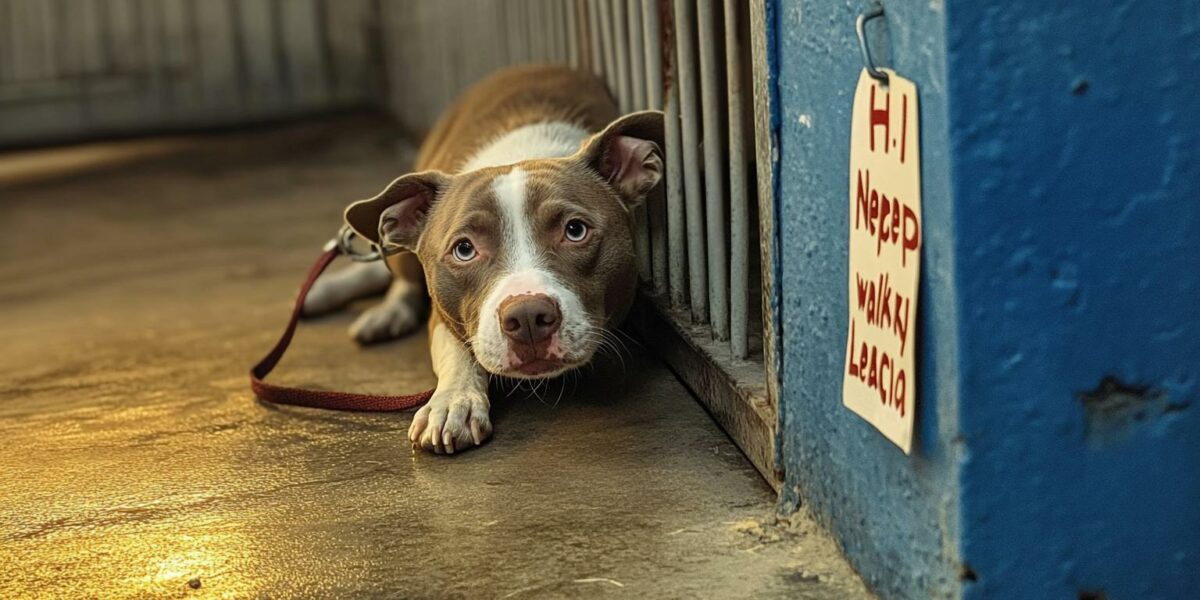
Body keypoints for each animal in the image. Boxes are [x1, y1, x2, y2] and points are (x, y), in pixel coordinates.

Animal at [304, 65, 667, 453]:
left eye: (575, 230)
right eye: (464, 249)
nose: (527, 316)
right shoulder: (443, 311)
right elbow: (456, 350)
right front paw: (453, 402)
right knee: (395, 273)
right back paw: (370, 308)